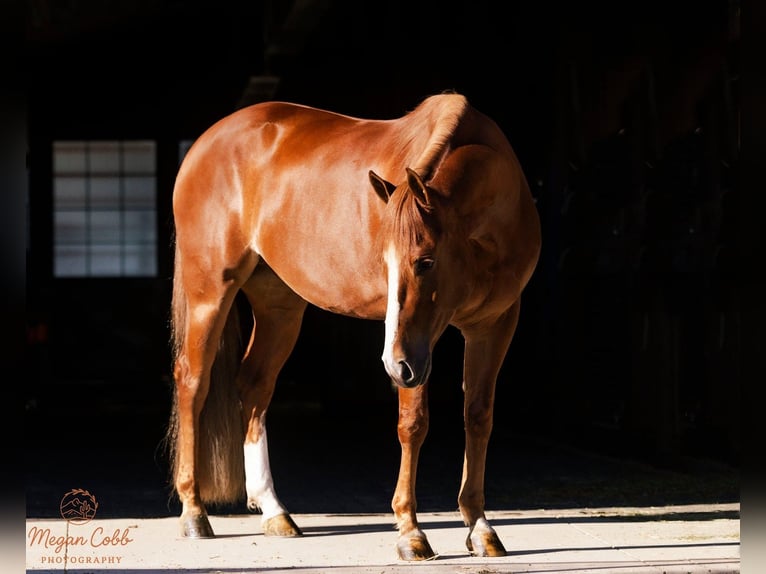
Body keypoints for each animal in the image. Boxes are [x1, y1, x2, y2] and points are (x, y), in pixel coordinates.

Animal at [165, 92, 541, 561]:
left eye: (426, 261)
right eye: (385, 261)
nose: (395, 367)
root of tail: (204, 144)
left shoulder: (494, 325)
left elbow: (478, 417)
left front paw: (481, 527)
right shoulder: (417, 344)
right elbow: (413, 424)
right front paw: (410, 532)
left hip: (280, 305)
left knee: (254, 385)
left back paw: (275, 511)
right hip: (210, 292)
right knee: (193, 382)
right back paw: (194, 512)